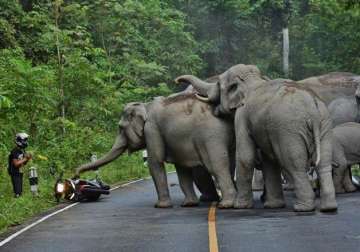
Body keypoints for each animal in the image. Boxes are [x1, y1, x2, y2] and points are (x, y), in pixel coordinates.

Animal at [75, 88, 236, 209]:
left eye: (120, 128)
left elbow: (155, 161)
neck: (145, 106)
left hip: (211, 135)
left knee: (217, 166)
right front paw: (189, 204)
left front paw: (160, 206)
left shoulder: (152, 129)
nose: (76, 175)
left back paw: (226, 204)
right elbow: (181, 168)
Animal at [177, 64, 338, 212]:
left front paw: (240, 206)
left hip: (289, 130)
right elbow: (269, 160)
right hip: (324, 124)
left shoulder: (242, 116)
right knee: (324, 163)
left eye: (218, 85)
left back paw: (302, 208)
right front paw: (272, 206)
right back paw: (328, 208)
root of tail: (312, 107)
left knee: (294, 164)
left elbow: (245, 156)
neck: (252, 80)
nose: (177, 80)